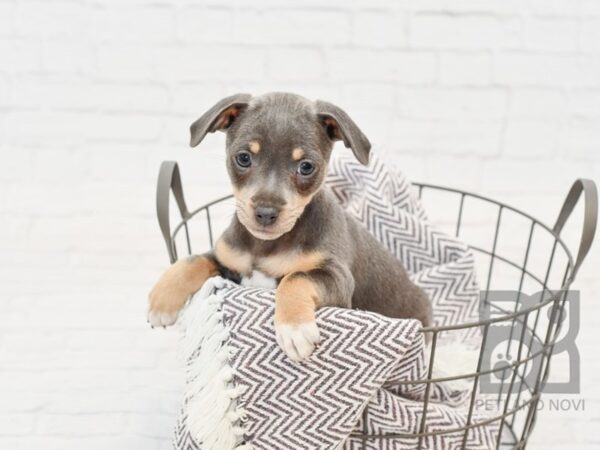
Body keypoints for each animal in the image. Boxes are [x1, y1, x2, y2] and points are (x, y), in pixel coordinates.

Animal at [149, 92, 432, 362]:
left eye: (306, 166)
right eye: (243, 158)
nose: (265, 213)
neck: (264, 246)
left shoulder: (338, 279)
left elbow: (295, 277)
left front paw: (294, 329)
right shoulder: (228, 261)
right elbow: (193, 259)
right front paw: (162, 300)